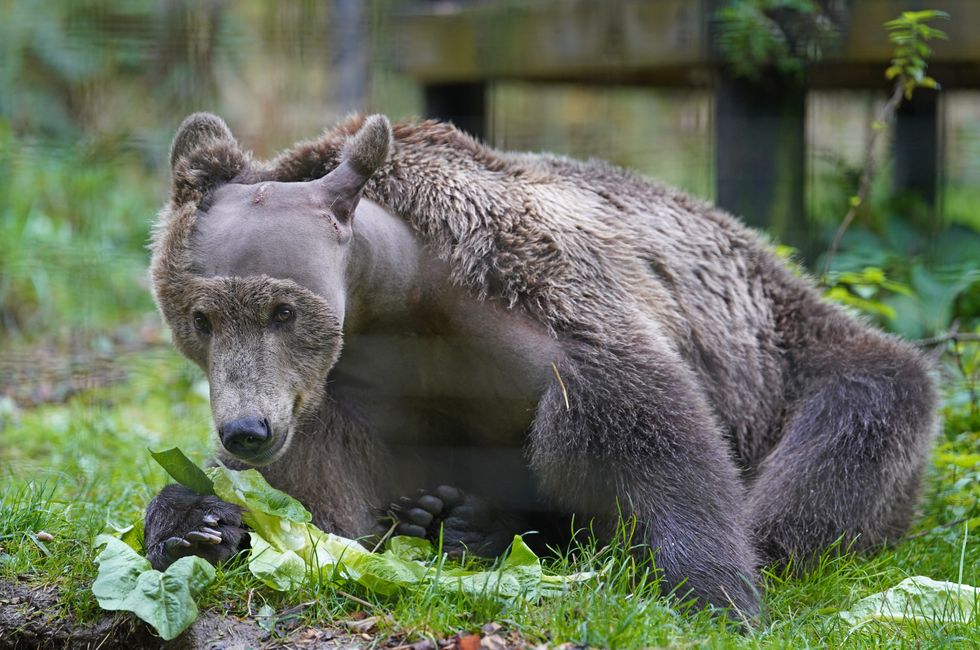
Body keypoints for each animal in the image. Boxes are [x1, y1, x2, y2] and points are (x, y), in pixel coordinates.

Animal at [143, 112, 937, 618]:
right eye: (201, 318)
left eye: (282, 310)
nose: (246, 430)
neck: (399, 297)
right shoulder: (338, 393)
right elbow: (331, 495)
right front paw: (201, 522)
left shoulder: (548, 304)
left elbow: (653, 440)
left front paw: (716, 592)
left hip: (793, 359)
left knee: (845, 438)